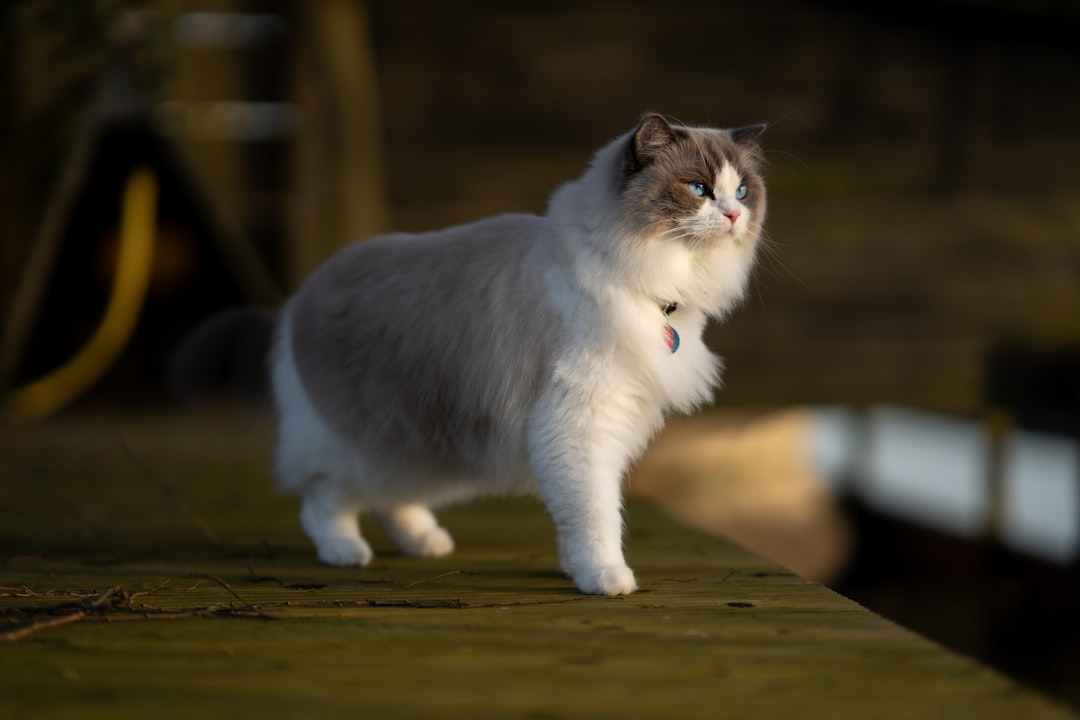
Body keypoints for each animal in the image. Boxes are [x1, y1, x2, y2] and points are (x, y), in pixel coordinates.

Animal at [267, 113, 768, 595]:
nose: (733, 214)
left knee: (389, 496)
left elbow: (573, 521)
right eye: (699, 189)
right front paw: (605, 577)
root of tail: (307, 288)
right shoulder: (577, 426)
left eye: (742, 191)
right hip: (356, 438)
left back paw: (425, 542)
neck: (646, 279)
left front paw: (572, 568)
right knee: (324, 498)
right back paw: (345, 550)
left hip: (413, 436)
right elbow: (595, 514)